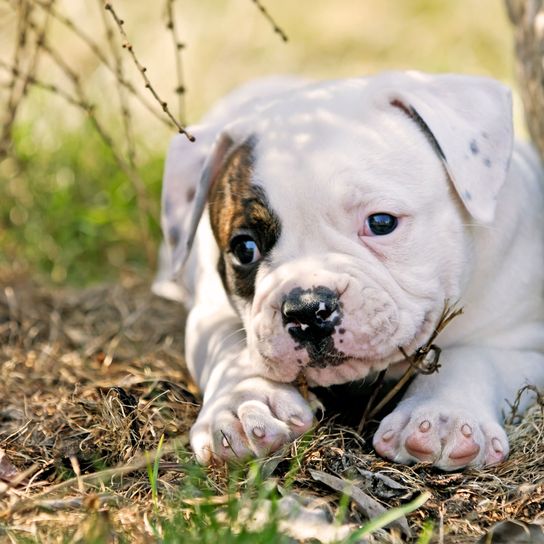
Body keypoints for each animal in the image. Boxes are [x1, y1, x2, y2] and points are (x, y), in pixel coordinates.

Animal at [152, 73, 544, 472]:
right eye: (245, 249)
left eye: (382, 222)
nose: (307, 309)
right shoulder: (209, 314)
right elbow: (230, 349)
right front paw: (244, 403)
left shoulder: (524, 339)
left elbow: (474, 357)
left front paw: (442, 415)